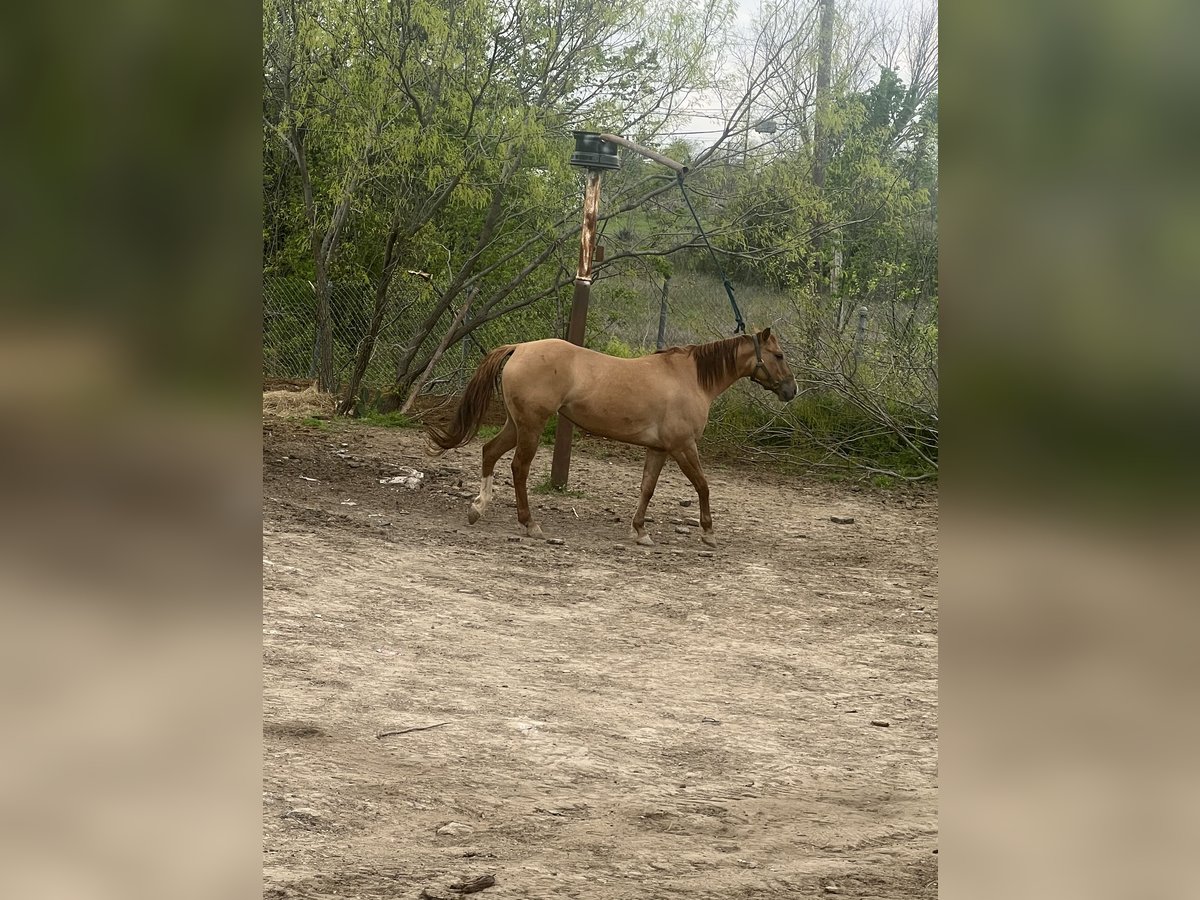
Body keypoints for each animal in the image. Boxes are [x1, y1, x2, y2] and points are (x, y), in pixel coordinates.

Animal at [424, 328, 796, 547]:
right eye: (778, 355)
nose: (791, 391)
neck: (691, 378)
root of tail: (519, 348)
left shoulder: (658, 449)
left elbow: (647, 489)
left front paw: (640, 531)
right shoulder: (682, 446)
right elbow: (703, 485)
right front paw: (708, 532)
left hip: (516, 425)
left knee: (489, 452)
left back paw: (478, 508)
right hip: (530, 426)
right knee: (519, 468)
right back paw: (530, 524)